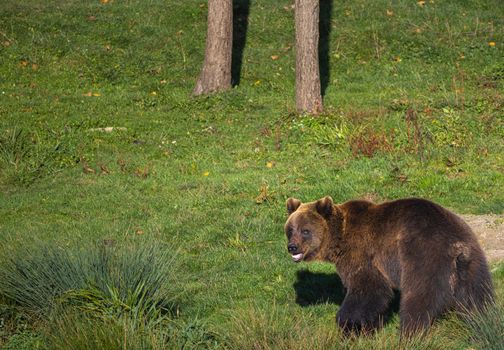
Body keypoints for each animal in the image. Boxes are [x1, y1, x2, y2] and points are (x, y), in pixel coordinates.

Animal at [286, 196, 494, 334]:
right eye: (290, 229)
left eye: (305, 231)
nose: (292, 247)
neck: (339, 240)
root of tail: (458, 247)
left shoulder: (363, 254)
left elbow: (368, 290)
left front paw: (348, 323)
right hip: (475, 266)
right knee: (479, 299)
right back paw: (483, 323)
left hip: (424, 258)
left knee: (418, 299)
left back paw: (409, 333)